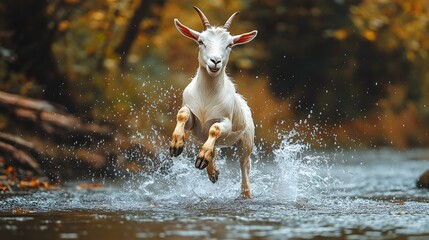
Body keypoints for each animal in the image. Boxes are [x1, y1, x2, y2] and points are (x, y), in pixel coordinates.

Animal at [170, 7, 258, 199]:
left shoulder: (226, 121)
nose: (215, 61)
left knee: (244, 166)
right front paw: (176, 146)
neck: (207, 97)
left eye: (230, 45)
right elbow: (183, 114)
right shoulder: (193, 117)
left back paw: (245, 193)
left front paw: (201, 158)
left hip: (246, 141)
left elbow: (215, 128)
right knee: (215, 148)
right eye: (200, 41)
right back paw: (212, 171)